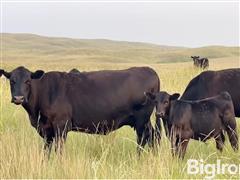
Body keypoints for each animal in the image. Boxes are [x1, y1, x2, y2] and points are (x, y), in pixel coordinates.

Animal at [0, 65, 160, 155]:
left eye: (28, 81)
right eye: (12, 81)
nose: (18, 98)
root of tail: (148, 69)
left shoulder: (61, 126)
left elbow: (59, 150)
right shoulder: (46, 130)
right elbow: (46, 150)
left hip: (141, 120)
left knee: (143, 138)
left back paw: (139, 157)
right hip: (144, 121)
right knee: (153, 136)